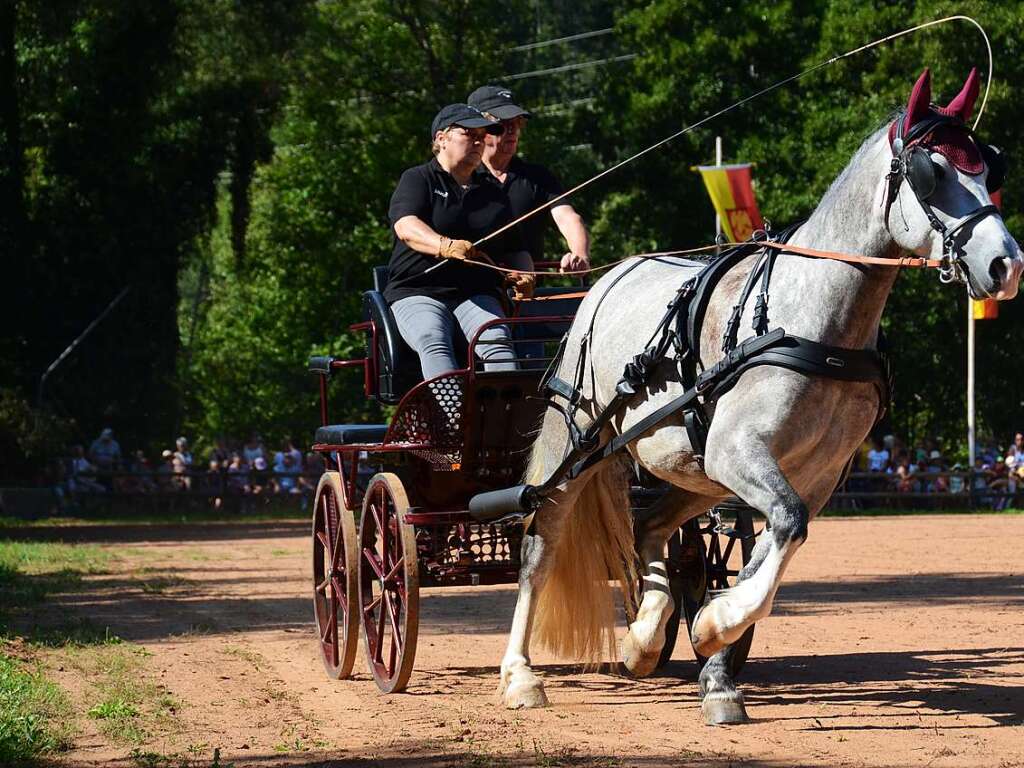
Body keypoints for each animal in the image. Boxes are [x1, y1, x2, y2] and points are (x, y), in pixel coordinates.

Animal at [495, 69, 1015, 724]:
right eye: (934, 172)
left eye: (990, 168)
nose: (1005, 264)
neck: (814, 323)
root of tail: (607, 279)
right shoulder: (740, 452)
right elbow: (784, 528)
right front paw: (715, 624)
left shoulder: (814, 473)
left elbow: (772, 545)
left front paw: (715, 656)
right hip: (585, 444)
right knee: (542, 542)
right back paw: (520, 674)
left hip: (693, 471)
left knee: (649, 529)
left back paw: (646, 636)